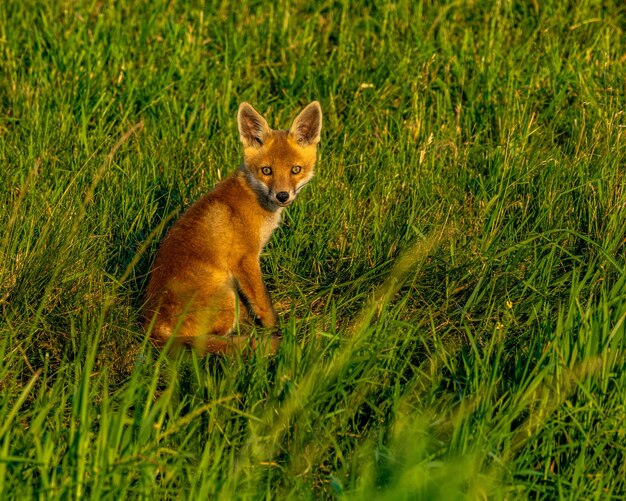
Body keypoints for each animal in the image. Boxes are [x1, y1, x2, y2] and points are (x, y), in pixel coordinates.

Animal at [143, 99, 322, 354]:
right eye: (266, 171)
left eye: (295, 170)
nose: (282, 196)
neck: (253, 196)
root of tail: (153, 330)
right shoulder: (245, 258)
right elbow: (263, 301)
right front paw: (275, 329)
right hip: (228, 298)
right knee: (207, 342)